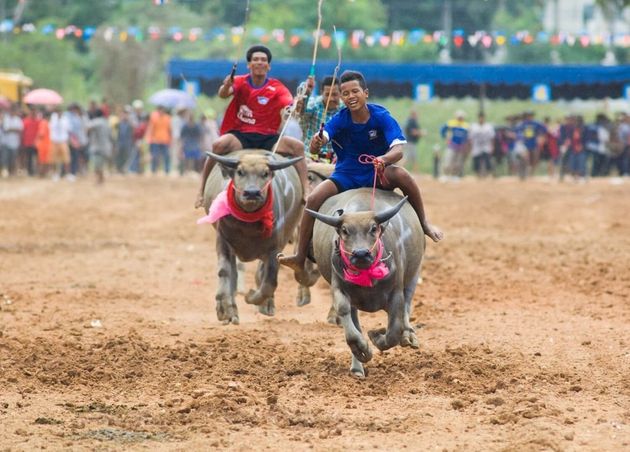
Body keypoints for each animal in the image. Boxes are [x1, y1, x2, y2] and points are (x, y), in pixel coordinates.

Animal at [201, 151, 302, 324]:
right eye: (240, 172)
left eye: (265, 173)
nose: (252, 193)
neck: (247, 225)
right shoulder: (224, 242)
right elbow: (224, 272)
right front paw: (226, 311)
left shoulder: (274, 249)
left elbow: (269, 282)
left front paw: (251, 296)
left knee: (262, 274)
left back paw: (266, 305)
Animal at [308, 187, 424, 378]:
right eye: (344, 230)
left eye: (373, 228)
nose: (361, 253)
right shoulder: (339, 287)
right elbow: (348, 320)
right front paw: (363, 350)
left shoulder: (396, 293)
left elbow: (394, 331)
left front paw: (376, 336)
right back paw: (357, 367)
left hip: (414, 274)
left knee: (407, 304)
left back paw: (409, 336)